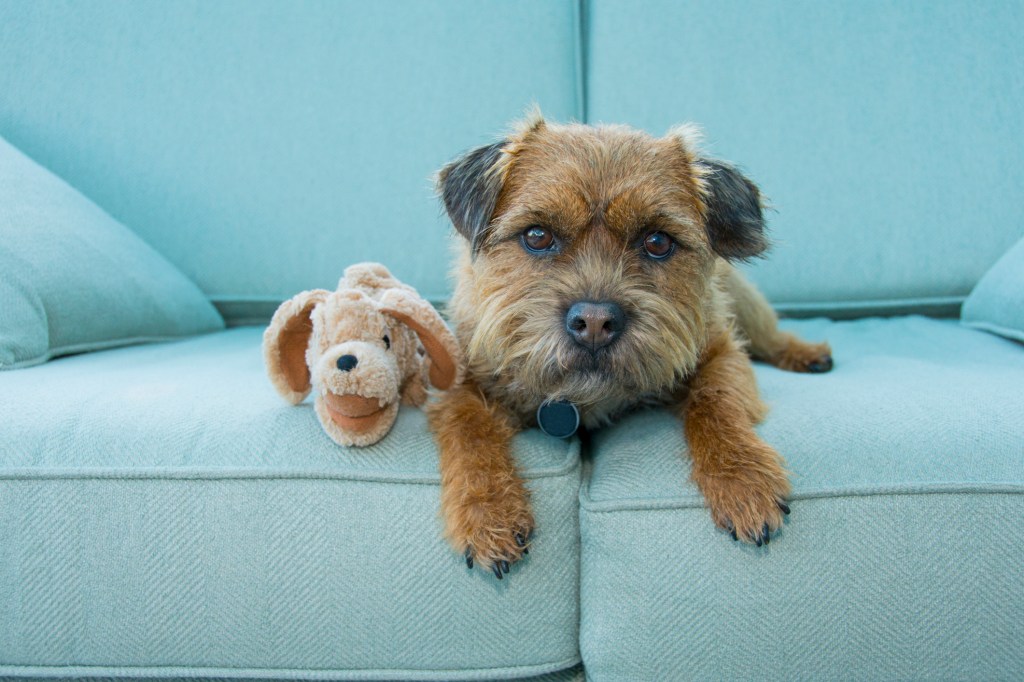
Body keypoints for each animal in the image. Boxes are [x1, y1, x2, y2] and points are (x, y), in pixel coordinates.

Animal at [428, 112, 835, 577]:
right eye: (537, 236)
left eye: (657, 242)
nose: (594, 322)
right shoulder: (457, 384)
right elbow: (469, 430)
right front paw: (487, 511)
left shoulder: (720, 350)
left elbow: (715, 401)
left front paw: (742, 477)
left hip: (746, 302)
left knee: (770, 336)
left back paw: (806, 354)